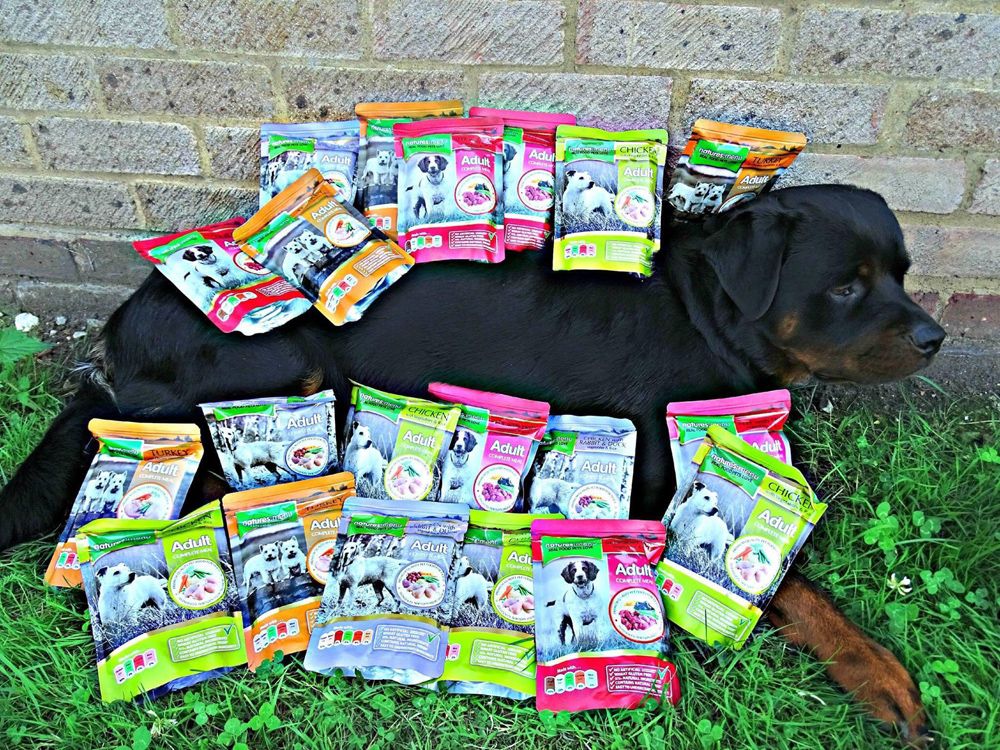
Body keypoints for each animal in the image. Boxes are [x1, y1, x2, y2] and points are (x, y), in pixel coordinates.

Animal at [2, 186, 943, 742]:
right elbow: (801, 589)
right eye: (847, 287)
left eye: (899, 274)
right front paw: (884, 676)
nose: (933, 336)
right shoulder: (654, 480)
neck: (712, 318)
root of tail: (119, 331)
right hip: (273, 362)